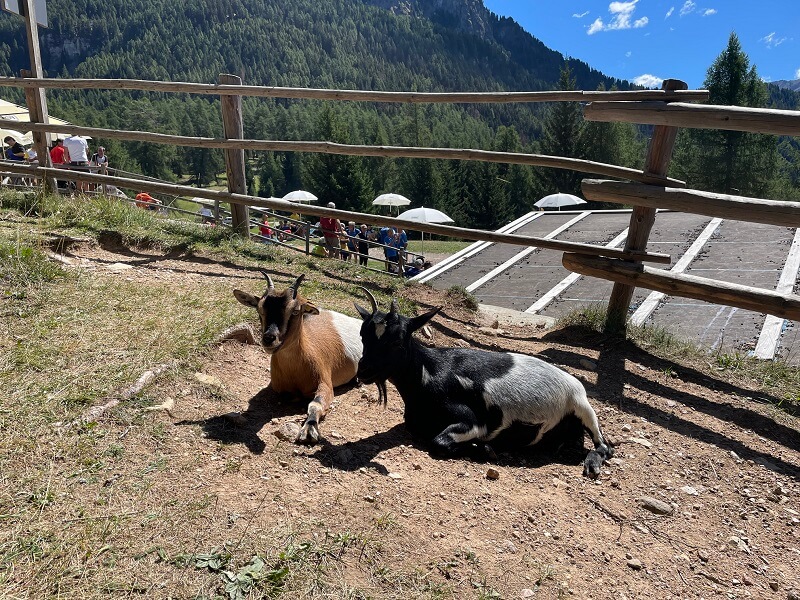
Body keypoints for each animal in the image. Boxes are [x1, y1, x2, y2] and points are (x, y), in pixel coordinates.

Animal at [234, 274, 362, 442]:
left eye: (295, 311)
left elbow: (315, 404)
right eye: (259, 309)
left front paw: (309, 430)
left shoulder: (325, 382)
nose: (269, 339)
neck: (295, 369)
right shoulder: (277, 388)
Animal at [354, 290, 608, 478]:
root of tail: (572, 379)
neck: (428, 373)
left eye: (397, 341)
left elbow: (439, 442)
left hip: (583, 407)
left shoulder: (474, 423)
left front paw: (484, 449)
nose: (364, 370)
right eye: (362, 335)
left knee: (604, 445)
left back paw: (592, 463)